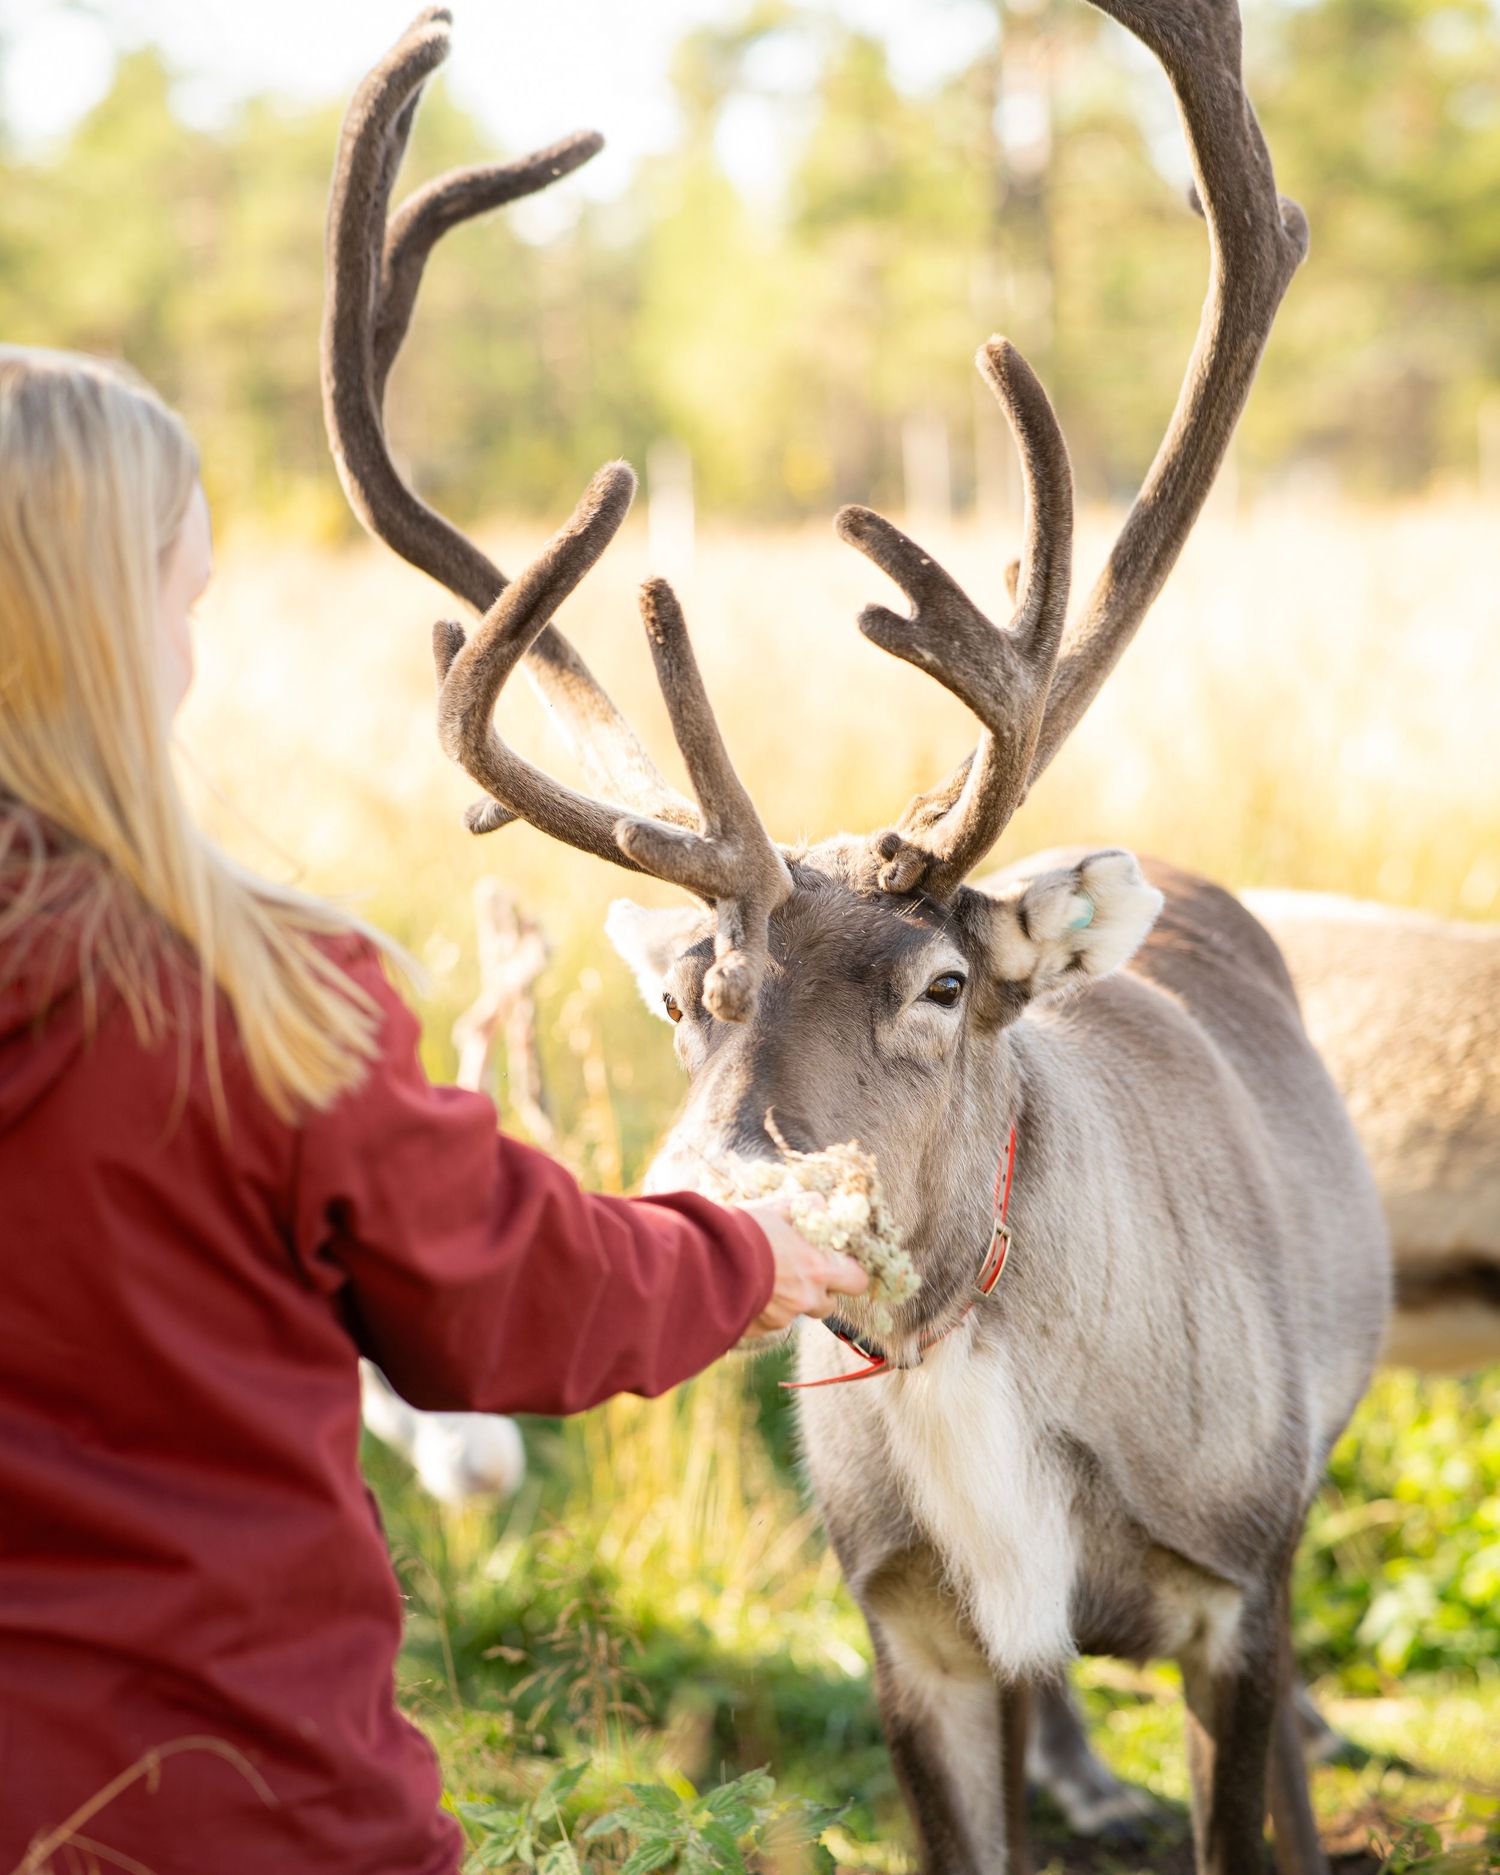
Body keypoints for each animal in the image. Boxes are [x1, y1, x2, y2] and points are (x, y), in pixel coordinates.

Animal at [321, 9, 1393, 1873]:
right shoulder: (908, 1629)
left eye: (943, 984)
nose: (721, 1175)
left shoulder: (1235, 1585)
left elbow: (1250, 1799)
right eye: (688, 993)